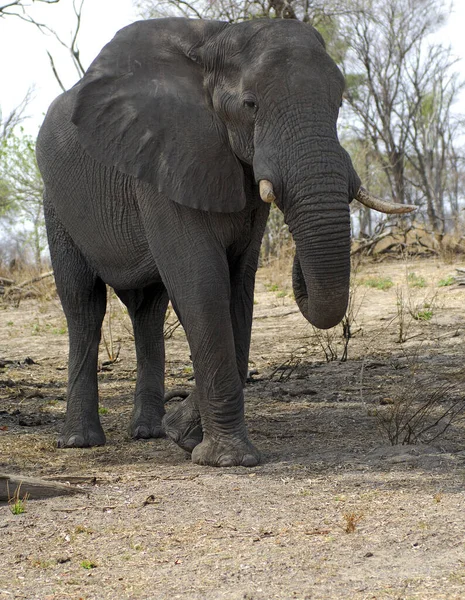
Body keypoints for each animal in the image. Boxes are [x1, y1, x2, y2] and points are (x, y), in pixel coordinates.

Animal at [37, 12, 414, 464]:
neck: (215, 40)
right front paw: (229, 460)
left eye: (339, 103)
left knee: (148, 310)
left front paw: (184, 434)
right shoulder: (169, 157)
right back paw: (80, 441)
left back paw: (148, 432)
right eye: (250, 105)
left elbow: (239, 288)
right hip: (56, 203)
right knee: (83, 305)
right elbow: (202, 283)